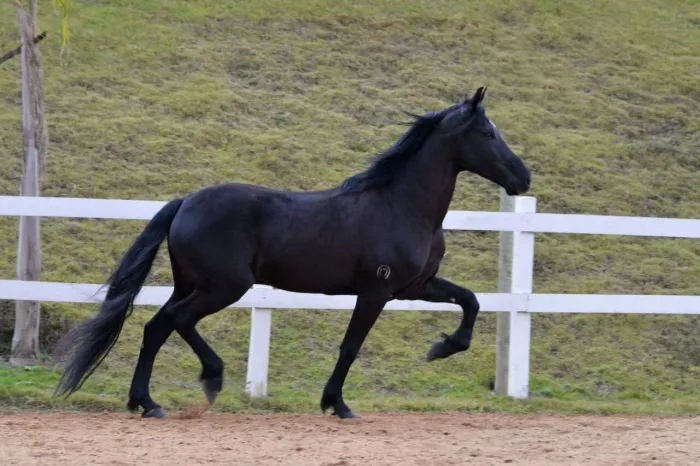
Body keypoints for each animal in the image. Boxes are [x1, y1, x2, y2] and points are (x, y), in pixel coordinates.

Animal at [53, 86, 531, 419]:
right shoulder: (376, 292)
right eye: (488, 133)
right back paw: (211, 378)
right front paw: (337, 405)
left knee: (156, 327)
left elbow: (471, 300)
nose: (524, 177)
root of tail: (185, 202)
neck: (401, 205)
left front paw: (442, 347)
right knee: (178, 320)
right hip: (225, 287)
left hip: (191, 283)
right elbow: (350, 346)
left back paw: (147, 403)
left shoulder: (416, 286)